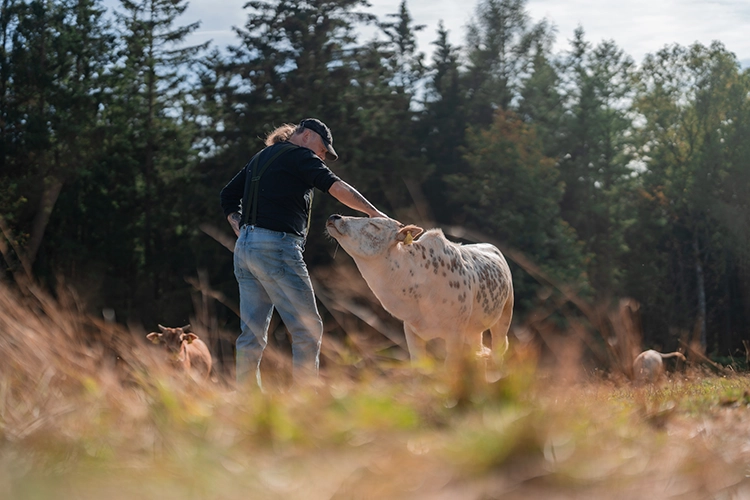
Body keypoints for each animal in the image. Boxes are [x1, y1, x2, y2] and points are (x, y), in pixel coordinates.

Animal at [326, 215, 516, 368]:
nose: (335, 217)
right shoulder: (411, 330)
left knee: (498, 349)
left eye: (374, 225)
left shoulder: (455, 333)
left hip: (505, 315)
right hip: (474, 330)